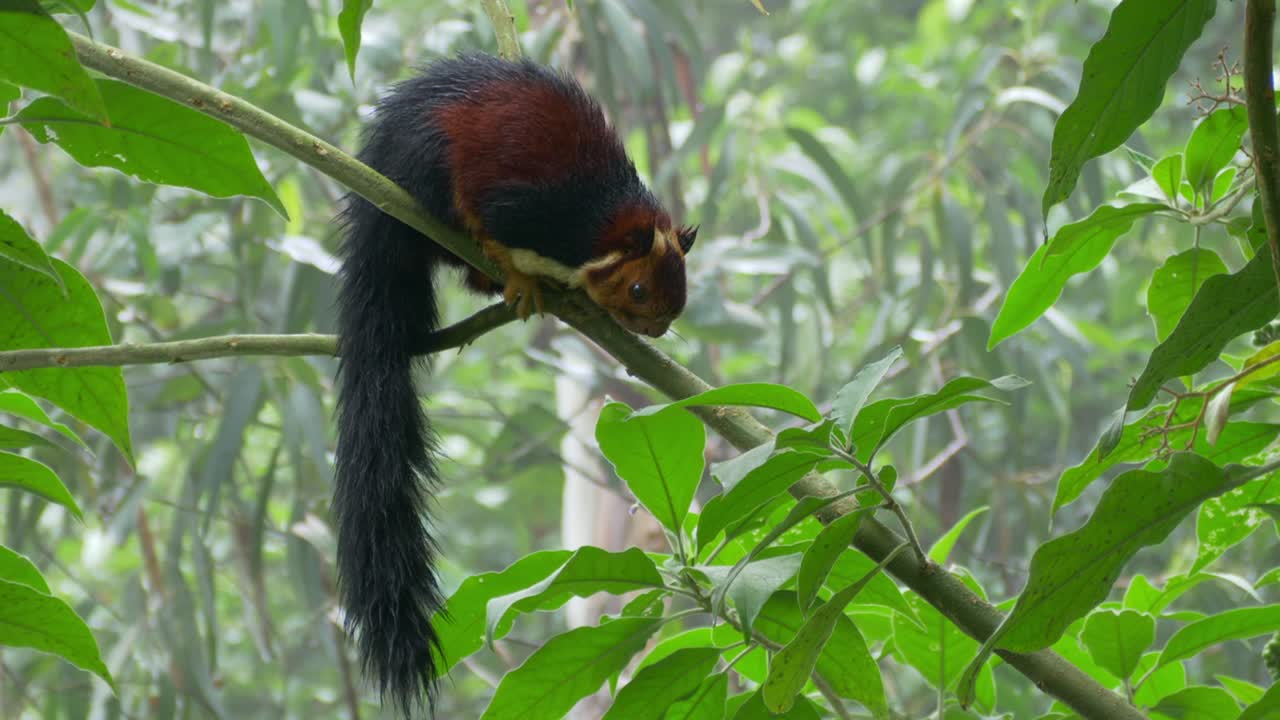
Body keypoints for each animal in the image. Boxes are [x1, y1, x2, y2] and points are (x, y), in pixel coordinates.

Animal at [332, 52, 697, 716]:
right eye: (638, 290)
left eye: (678, 295)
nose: (655, 328)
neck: (596, 228)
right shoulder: (526, 206)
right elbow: (490, 222)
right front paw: (516, 270)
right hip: (426, 168)